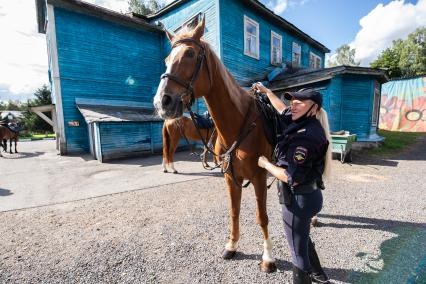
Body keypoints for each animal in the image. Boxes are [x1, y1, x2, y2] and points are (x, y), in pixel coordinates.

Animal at [153, 18, 276, 272]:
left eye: (190, 54)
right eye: (167, 59)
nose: (162, 102)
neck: (240, 124)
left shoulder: (259, 177)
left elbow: (262, 217)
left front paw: (268, 257)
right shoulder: (231, 177)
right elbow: (234, 212)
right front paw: (232, 245)